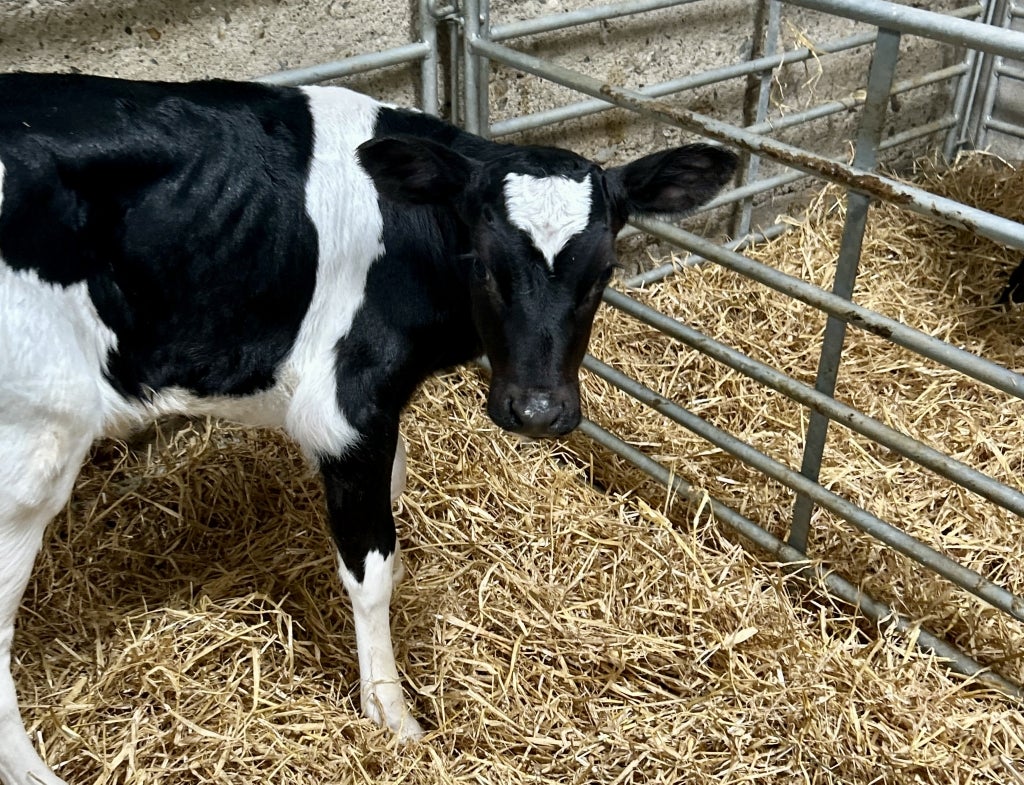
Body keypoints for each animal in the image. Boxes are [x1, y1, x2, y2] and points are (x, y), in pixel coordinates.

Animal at [0, 72, 736, 785]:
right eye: (483, 263)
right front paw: (391, 711)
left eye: (603, 272)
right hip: (33, 445)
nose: (538, 411)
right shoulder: (344, 409)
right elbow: (372, 569)